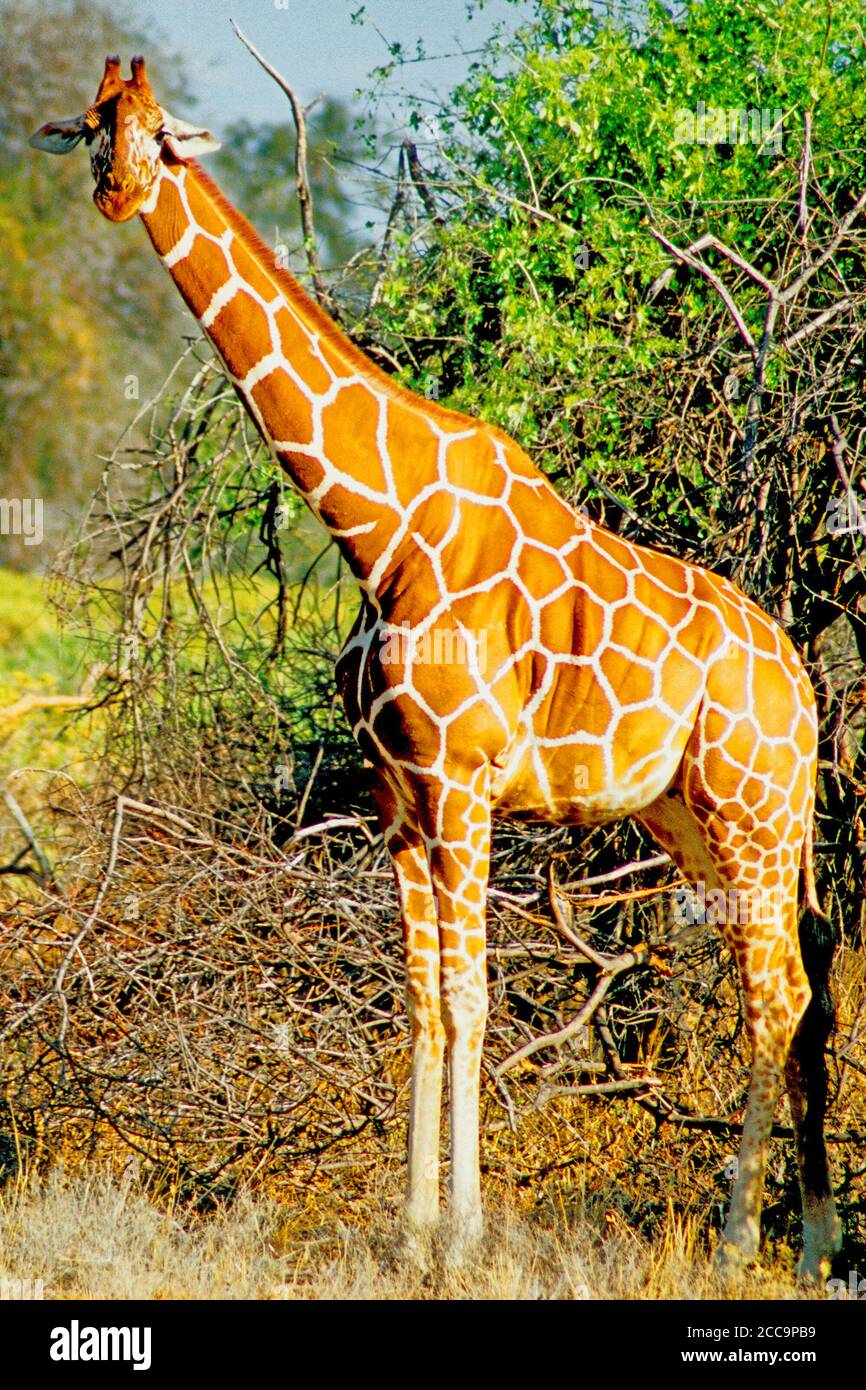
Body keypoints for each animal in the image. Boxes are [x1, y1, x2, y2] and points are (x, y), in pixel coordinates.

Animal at [30, 59, 845, 1273]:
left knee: (776, 991)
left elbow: (469, 996)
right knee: (799, 983)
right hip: (700, 819)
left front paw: (462, 1233)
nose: (115, 192)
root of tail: (799, 680)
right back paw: (814, 1238)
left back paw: (749, 1237)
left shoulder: (463, 783)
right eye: (91, 128)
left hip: (754, 806)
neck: (379, 525)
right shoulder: (397, 793)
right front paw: (412, 1229)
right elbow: (417, 993)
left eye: (161, 133)